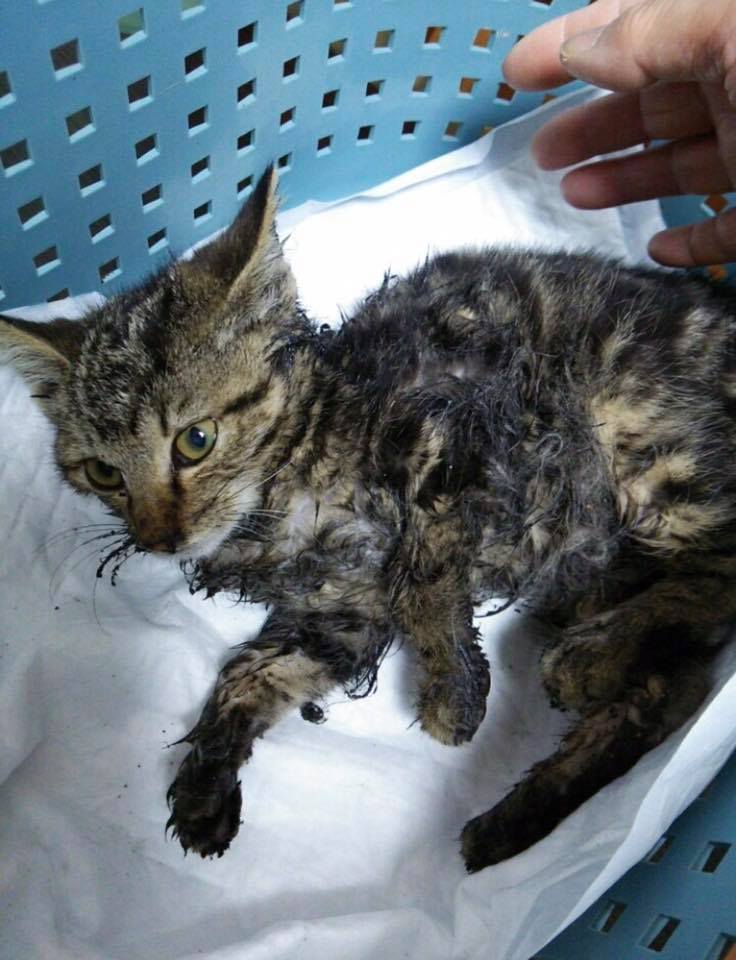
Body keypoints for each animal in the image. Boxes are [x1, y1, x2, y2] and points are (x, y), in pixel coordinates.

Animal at [2, 165, 736, 872]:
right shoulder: (340, 611)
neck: (283, 494)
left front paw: (452, 696)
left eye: (195, 440)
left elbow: (420, 576)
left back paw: (588, 657)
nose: (157, 538)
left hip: (640, 445)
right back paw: (512, 818)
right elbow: (250, 674)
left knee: (719, 568)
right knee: (674, 687)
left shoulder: (464, 445)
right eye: (103, 474)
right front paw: (205, 782)